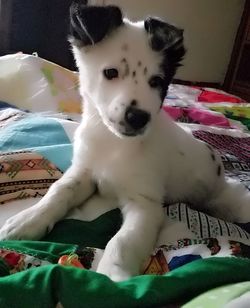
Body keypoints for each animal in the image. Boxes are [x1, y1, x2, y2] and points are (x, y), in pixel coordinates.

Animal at [0, 0, 250, 282]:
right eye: (110, 72)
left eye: (157, 81)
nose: (138, 118)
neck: (114, 144)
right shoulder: (84, 172)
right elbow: (59, 190)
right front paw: (29, 218)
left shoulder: (145, 204)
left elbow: (123, 241)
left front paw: (112, 276)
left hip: (229, 200)